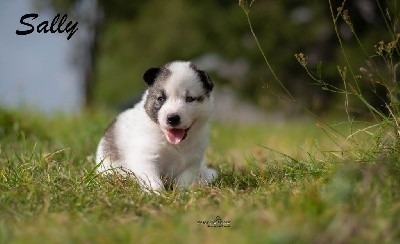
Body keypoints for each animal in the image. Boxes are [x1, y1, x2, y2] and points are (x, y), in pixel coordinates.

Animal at [95, 60, 217, 191]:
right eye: (161, 98)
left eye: (189, 99)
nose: (172, 118)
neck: (172, 143)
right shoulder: (146, 159)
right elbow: (153, 181)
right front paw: (159, 194)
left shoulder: (192, 163)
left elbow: (183, 180)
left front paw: (180, 193)